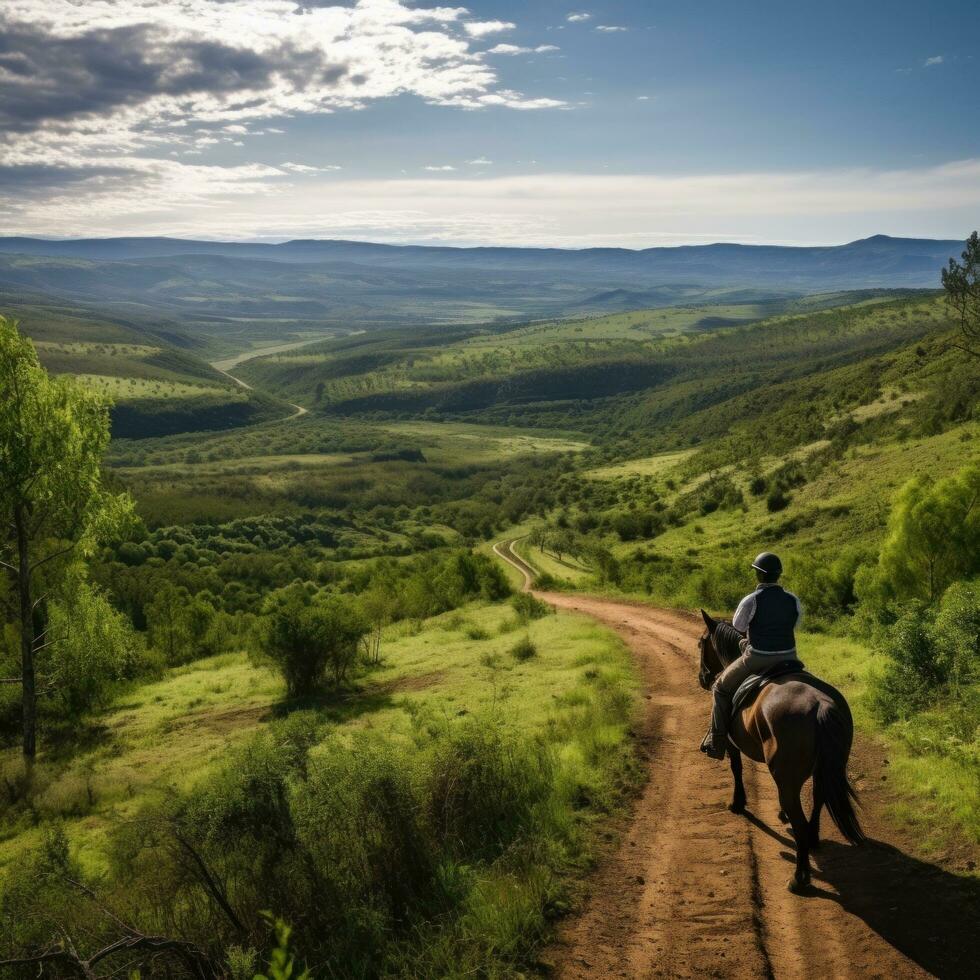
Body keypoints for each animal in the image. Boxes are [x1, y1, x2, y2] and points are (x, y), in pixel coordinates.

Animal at [696, 616, 864, 892]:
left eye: (701, 643)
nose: (702, 677)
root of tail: (821, 705)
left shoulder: (732, 744)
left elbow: (736, 769)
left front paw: (737, 803)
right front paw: (779, 812)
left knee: (799, 819)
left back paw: (799, 877)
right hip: (822, 769)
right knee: (817, 798)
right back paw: (813, 838)